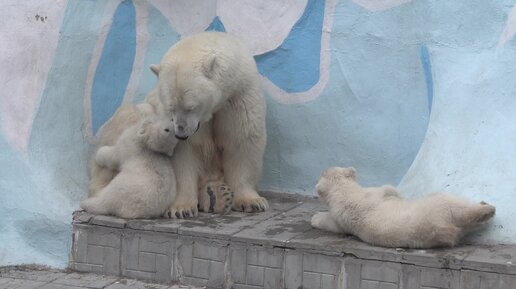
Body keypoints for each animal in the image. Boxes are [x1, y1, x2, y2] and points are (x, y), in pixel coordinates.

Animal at [89, 31, 268, 217]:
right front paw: (181, 208)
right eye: (171, 107)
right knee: (129, 117)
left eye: (190, 107)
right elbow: (183, 154)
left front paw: (251, 201)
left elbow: (242, 141)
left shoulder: (239, 96)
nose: (180, 134)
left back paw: (216, 196)